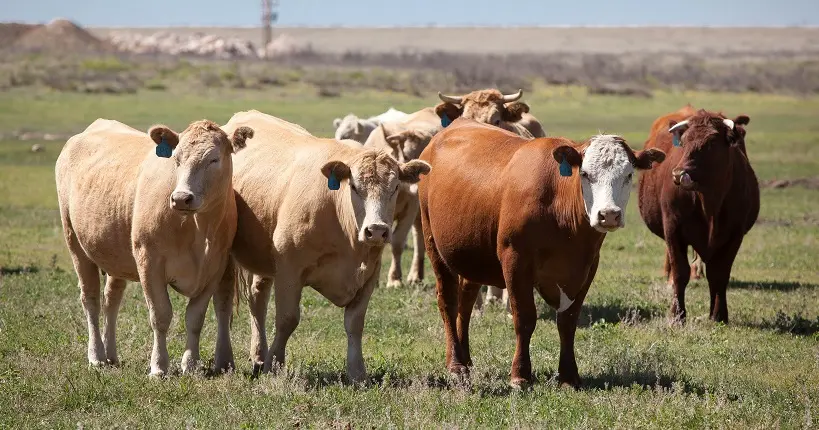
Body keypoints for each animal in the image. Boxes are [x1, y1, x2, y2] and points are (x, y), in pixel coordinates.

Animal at [54, 118, 253, 376]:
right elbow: (160, 315)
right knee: (91, 299)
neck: (197, 229)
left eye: (214, 159)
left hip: (116, 255)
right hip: (75, 243)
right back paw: (96, 356)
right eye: (176, 159)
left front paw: (190, 363)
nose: (181, 198)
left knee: (111, 299)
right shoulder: (149, 262)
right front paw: (158, 366)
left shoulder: (215, 268)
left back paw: (111, 355)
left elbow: (195, 317)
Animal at [221, 109, 432, 382]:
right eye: (354, 186)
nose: (376, 230)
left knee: (257, 298)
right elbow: (287, 319)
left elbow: (355, 323)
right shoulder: (289, 270)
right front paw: (275, 365)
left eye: (395, 186)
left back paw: (258, 355)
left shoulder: (369, 274)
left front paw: (357, 372)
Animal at [416, 117, 668, 386]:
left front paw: (569, 375)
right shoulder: (515, 260)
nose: (608, 214)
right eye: (585, 174)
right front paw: (520, 375)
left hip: (472, 256)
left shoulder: (587, 267)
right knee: (449, 302)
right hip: (434, 244)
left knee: (466, 302)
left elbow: (568, 322)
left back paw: (466, 358)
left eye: (629, 174)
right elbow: (525, 318)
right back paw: (456, 364)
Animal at [636, 106, 760, 322]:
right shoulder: (673, 229)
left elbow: (719, 274)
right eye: (684, 142)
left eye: (711, 143)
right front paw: (677, 315)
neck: (709, 203)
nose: (678, 173)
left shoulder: (734, 235)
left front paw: (718, 315)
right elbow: (680, 272)